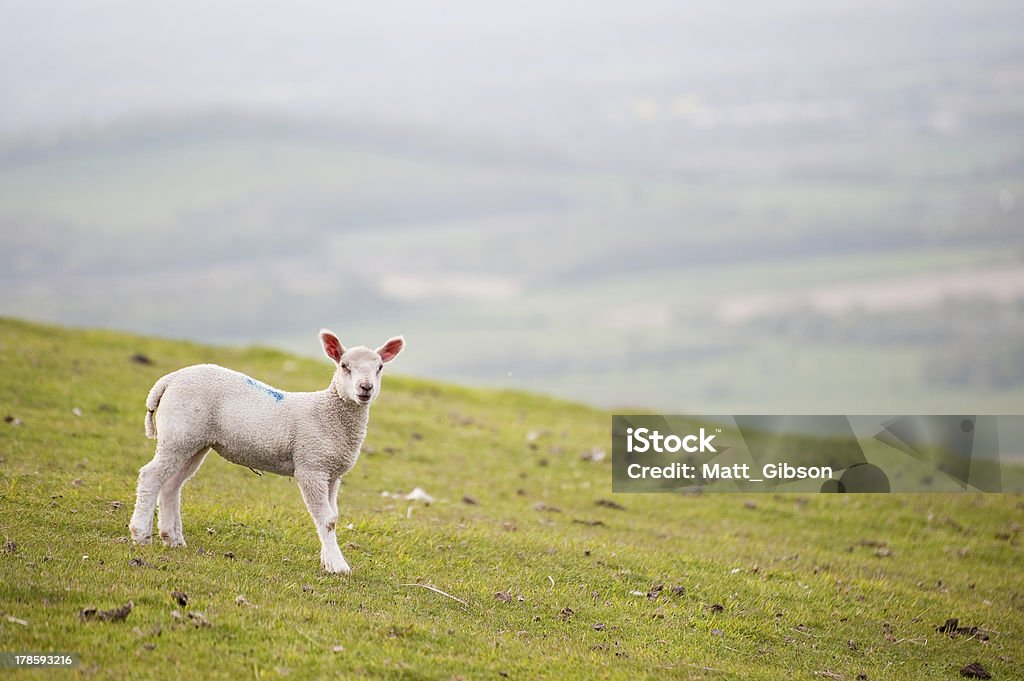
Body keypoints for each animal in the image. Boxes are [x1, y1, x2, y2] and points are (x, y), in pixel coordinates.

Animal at [125, 329, 401, 573]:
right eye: (344, 365)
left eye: (379, 368)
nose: (365, 388)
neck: (328, 413)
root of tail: (169, 380)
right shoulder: (311, 466)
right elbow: (327, 520)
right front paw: (338, 566)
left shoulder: (332, 473)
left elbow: (332, 516)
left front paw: (327, 560)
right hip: (179, 433)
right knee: (151, 475)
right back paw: (141, 534)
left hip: (194, 441)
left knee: (171, 484)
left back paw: (172, 538)